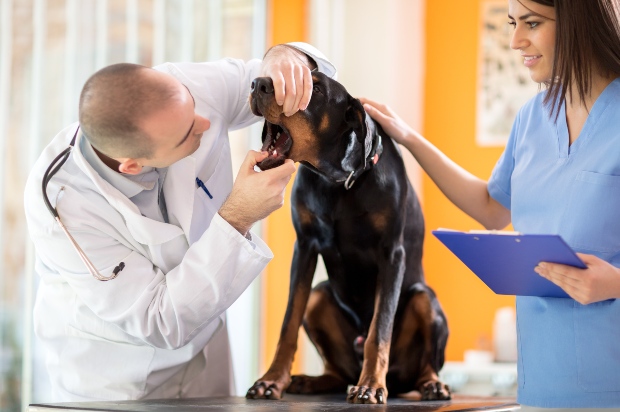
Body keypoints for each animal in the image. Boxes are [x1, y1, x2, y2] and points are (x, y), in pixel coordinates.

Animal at [243, 72, 450, 404]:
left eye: (315, 89)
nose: (257, 82)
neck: (337, 181)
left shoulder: (392, 253)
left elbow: (380, 328)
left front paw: (371, 385)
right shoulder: (305, 246)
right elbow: (288, 323)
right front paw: (272, 380)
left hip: (424, 298)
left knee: (426, 363)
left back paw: (431, 384)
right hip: (318, 299)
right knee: (336, 370)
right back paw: (311, 381)